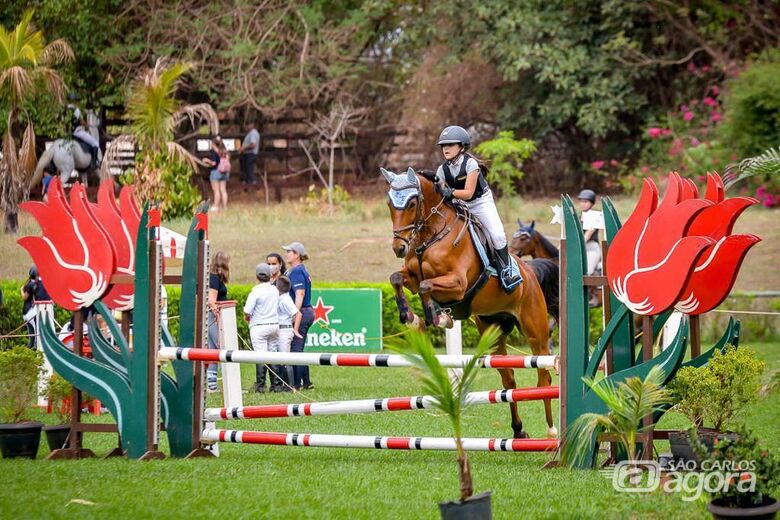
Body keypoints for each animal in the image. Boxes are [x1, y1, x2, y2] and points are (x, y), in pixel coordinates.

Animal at [380, 168, 556, 438]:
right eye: (390, 203)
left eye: (411, 203)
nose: (399, 247)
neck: (431, 235)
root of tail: (530, 272)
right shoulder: (411, 277)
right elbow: (398, 279)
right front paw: (412, 318)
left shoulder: (458, 283)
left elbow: (426, 286)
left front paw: (436, 316)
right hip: (493, 332)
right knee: (508, 380)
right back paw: (518, 431)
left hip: (535, 331)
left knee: (543, 375)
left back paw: (551, 431)